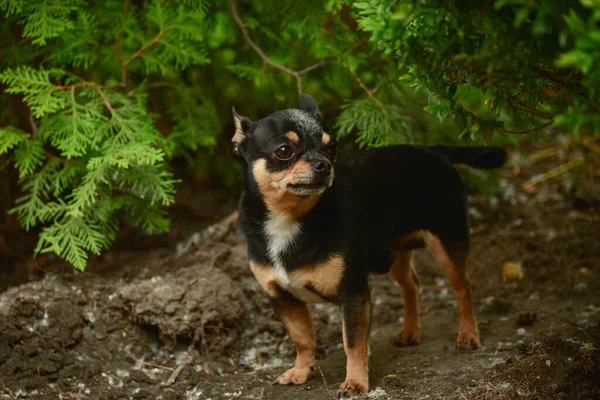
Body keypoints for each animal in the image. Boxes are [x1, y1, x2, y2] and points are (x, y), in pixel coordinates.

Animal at [232, 94, 504, 396]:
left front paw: (355, 382)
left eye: (332, 148)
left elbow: (352, 342)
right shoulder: (283, 299)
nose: (324, 165)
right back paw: (410, 331)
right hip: (395, 253)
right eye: (283, 151)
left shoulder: (353, 294)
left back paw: (468, 334)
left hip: (448, 244)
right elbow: (302, 338)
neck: (289, 219)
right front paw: (301, 371)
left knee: (462, 288)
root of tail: (432, 150)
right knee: (411, 285)